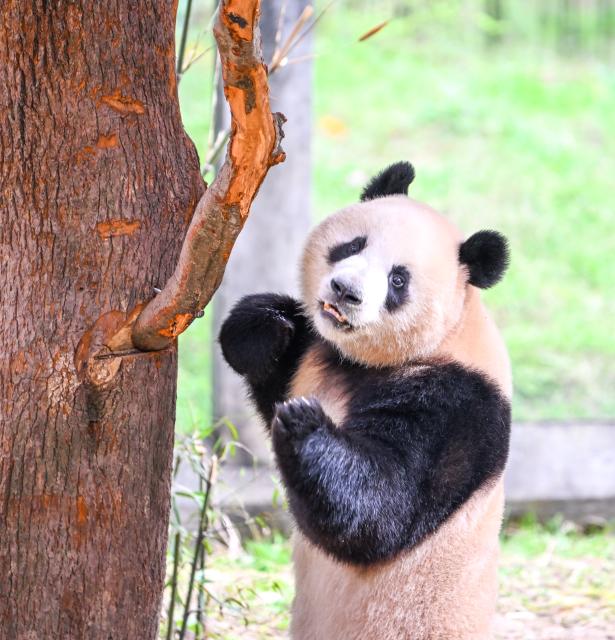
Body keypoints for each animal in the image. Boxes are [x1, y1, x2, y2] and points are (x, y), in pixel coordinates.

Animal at [219, 162, 511, 640]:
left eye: (398, 279)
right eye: (353, 245)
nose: (345, 290)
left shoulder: (460, 404)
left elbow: (382, 507)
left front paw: (304, 424)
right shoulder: (315, 356)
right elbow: (269, 363)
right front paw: (266, 326)